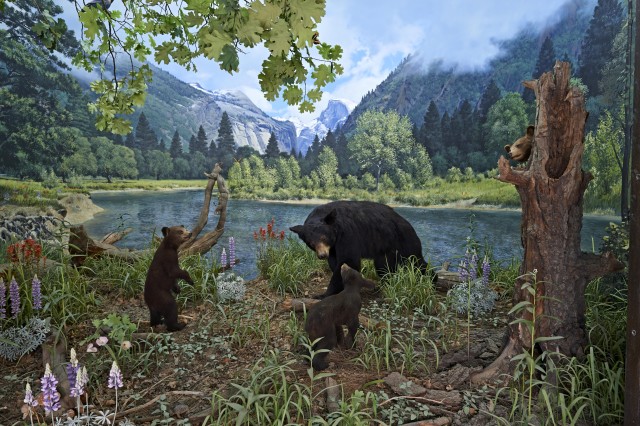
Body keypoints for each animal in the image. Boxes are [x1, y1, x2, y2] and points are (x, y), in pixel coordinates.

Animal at [292, 201, 436, 298]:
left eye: (324, 237)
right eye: (311, 243)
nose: (322, 255)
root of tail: (408, 224)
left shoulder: (348, 234)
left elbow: (348, 260)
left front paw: (324, 294)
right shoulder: (333, 248)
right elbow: (335, 262)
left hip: (404, 241)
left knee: (416, 261)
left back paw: (432, 279)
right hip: (385, 250)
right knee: (384, 267)